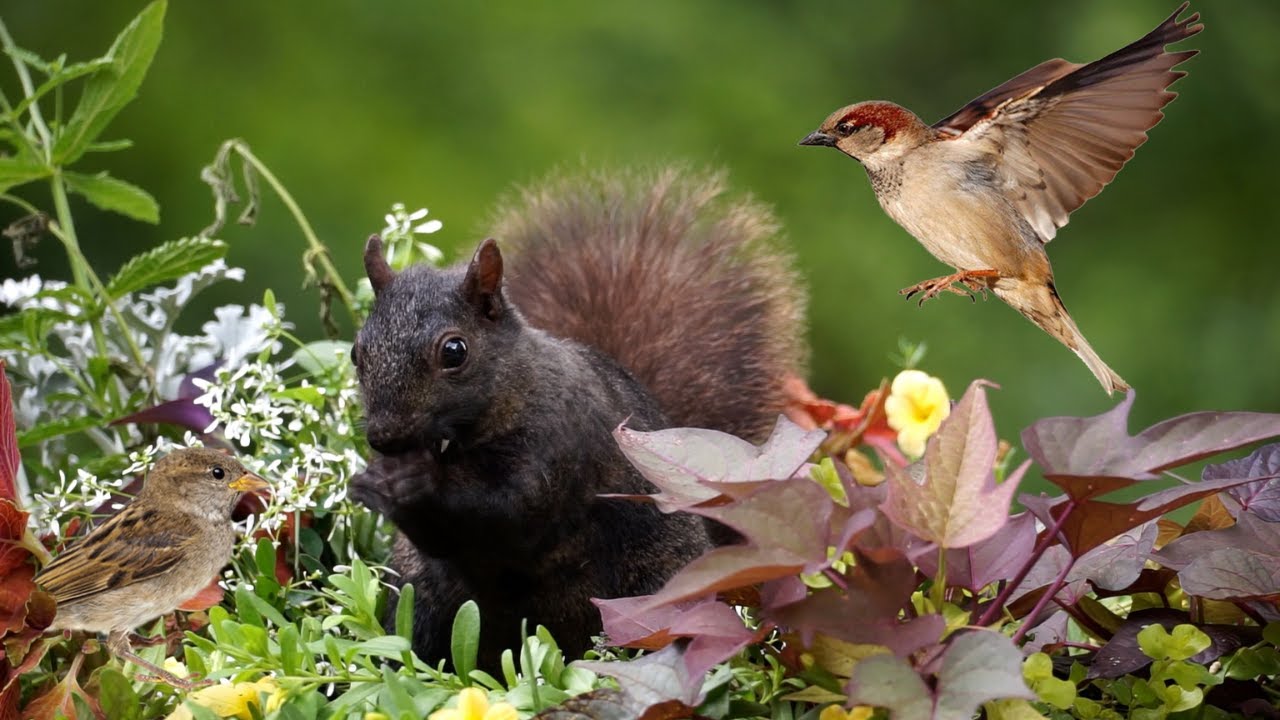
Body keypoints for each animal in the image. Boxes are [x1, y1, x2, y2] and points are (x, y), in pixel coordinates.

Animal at [349, 165, 806, 670]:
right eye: (357, 352)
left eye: (455, 351)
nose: (384, 437)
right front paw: (373, 481)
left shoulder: (557, 443)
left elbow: (505, 512)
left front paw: (411, 481)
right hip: (422, 594)